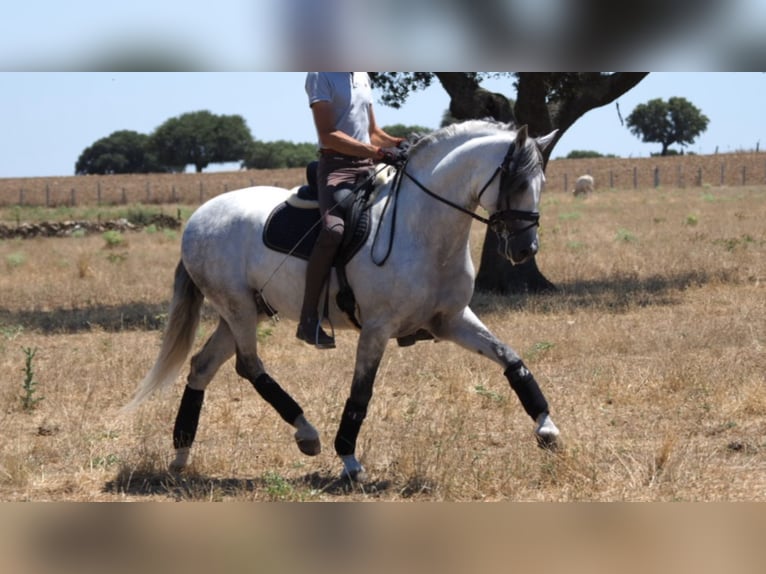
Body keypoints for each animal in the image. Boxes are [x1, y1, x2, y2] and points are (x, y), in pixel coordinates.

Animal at [124, 122, 560, 486]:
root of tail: (198, 217)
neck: (423, 229)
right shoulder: (377, 328)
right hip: (238, 309)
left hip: (246, 310)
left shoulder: (451, 320)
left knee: (203, 366)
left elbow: (511, 359)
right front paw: (349, 461)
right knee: (248, 366)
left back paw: (181, 453)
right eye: (515, 181)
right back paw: (306, 433)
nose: (526, 249)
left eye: (541, 181)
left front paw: (547, 427)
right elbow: (360, 394)